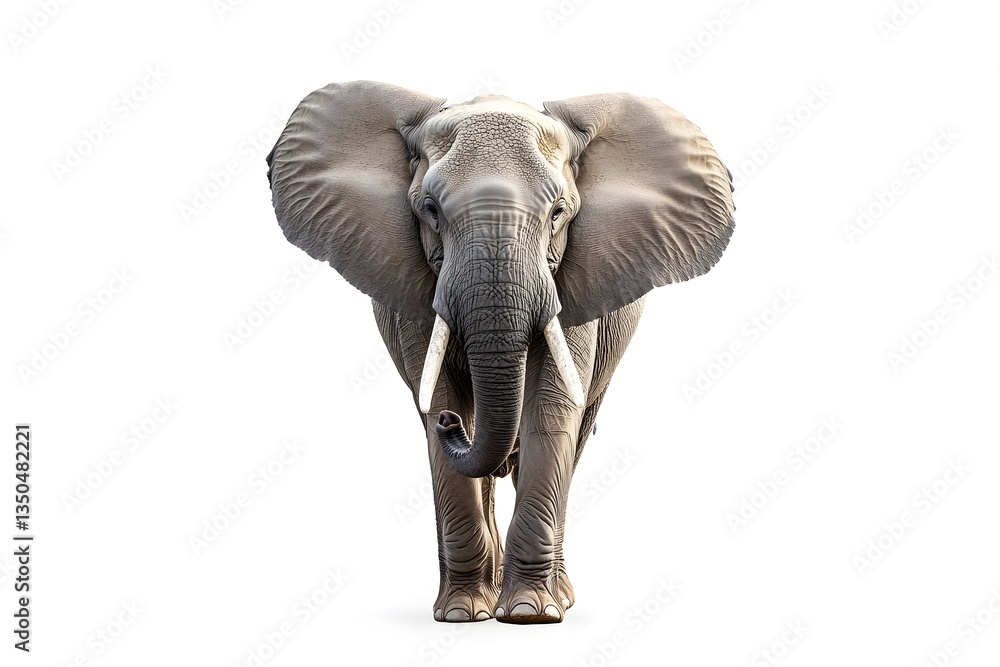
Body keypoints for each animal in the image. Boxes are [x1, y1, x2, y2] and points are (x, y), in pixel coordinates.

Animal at [265, 80, 734, 624]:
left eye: (558, 212)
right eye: (430, 209)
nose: (451, 425)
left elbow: (552, 412)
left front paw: (532, 613)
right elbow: (442, 403)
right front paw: (460, 614)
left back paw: (557, 595)